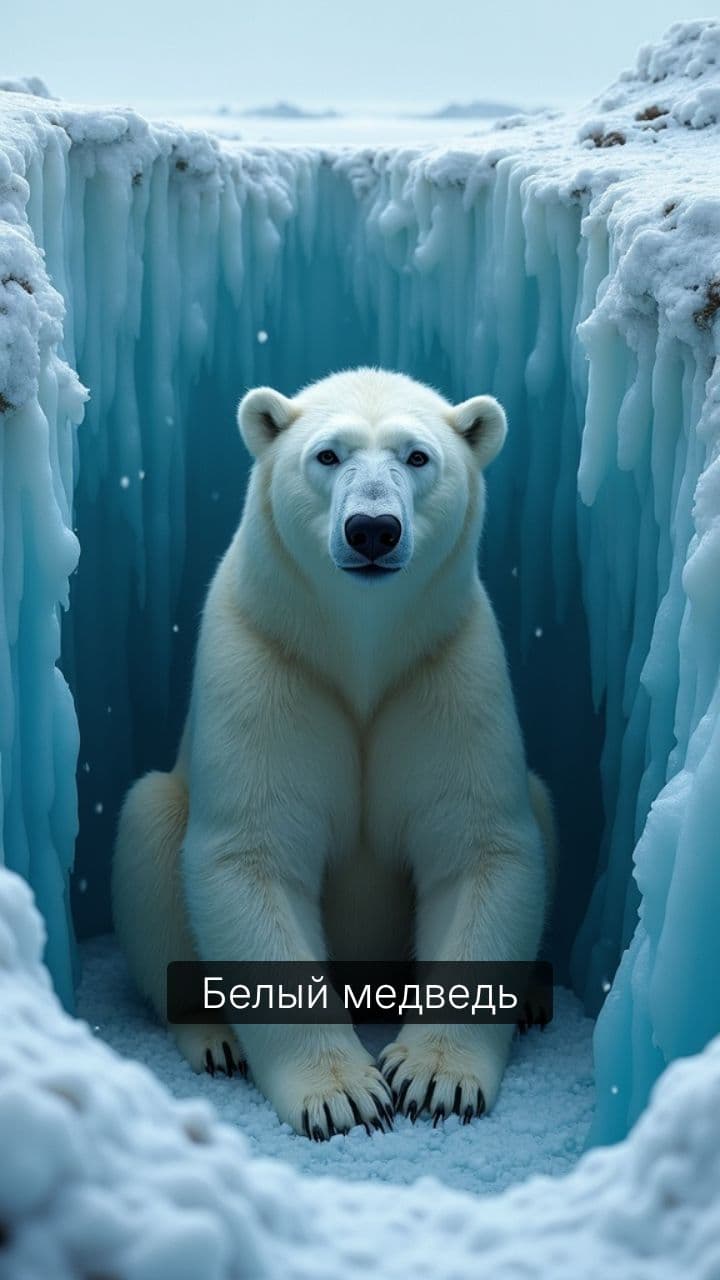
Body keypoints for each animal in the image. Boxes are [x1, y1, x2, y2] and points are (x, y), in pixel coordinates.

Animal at [112, 367, 555, 1139]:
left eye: (417, 456)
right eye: (327, 454)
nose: (372, 528)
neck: (360, 648)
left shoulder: (444, 667)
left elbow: (479, 846)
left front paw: (433, 1079)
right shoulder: (267, 659)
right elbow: (252, 854)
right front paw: (344, 1096)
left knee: (539, 801)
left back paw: (531, 999)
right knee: (151, 826)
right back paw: (215, 1037)